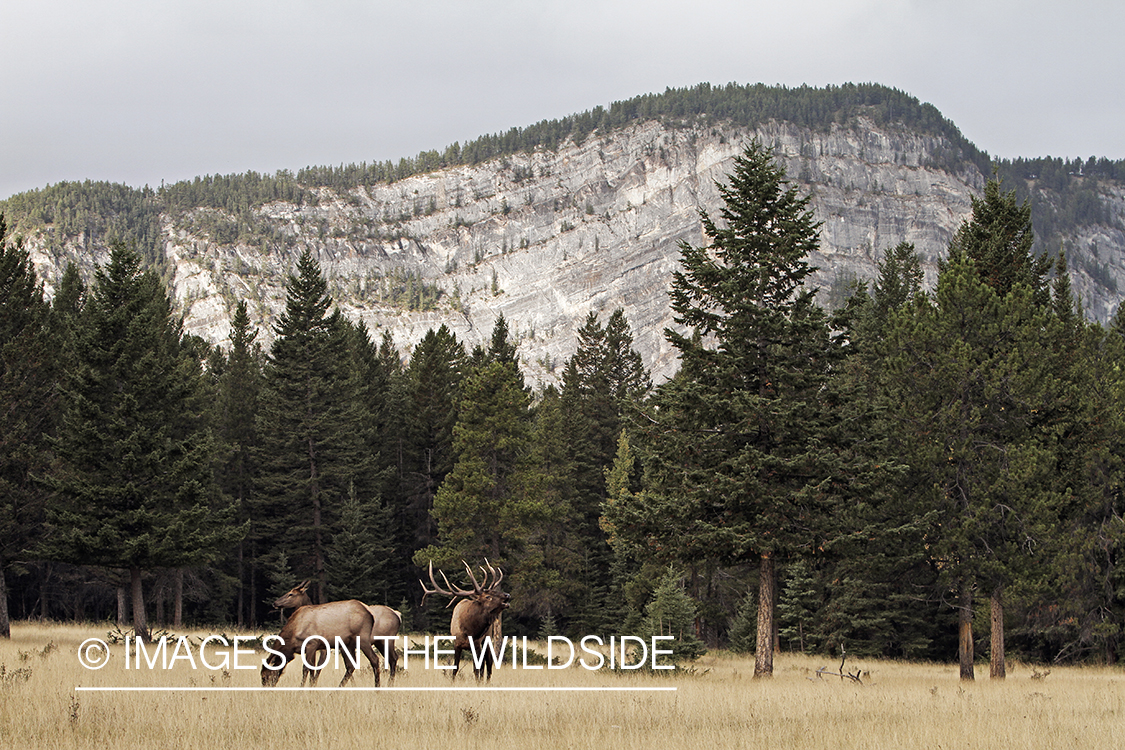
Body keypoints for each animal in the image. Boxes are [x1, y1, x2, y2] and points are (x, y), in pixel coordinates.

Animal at [272, 581, 401, 679]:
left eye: (291, 594)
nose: (275, 602)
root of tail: (398, 615)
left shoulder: (323, 648)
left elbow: (316, 667)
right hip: (379, 642)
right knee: (392, 658)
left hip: (384, 640)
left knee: (392, 659)